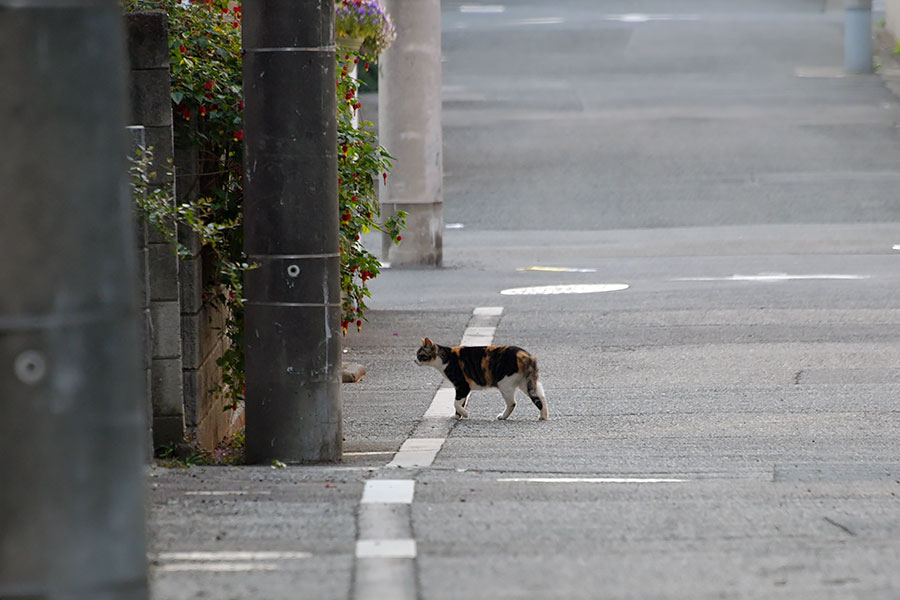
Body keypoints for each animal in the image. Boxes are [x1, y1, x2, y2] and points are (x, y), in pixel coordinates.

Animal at [414, 338, 548, 422]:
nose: (414, 360)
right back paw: (543, 416)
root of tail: (526, 355)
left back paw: (503, 417)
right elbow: (460, 403)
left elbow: (456, 403)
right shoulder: (462, 388)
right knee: (541, 397)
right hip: (527, 383)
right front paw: (457, 416)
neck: (446, 358)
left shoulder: (462, 386)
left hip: (505, 383)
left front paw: (465, 414)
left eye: (420, 355)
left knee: (512, 403)